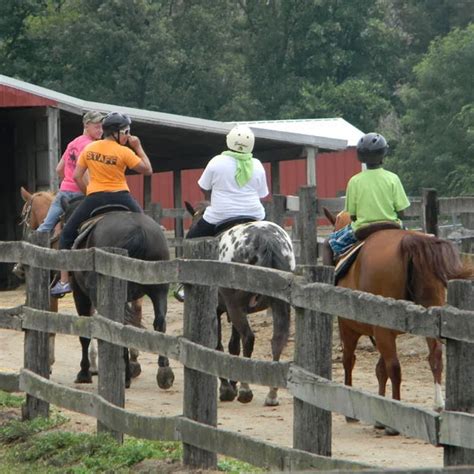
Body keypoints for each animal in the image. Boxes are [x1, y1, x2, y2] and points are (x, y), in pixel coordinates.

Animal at [186, 202, 294, 406]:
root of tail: (265, 240)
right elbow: (233, 346)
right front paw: (232, 383)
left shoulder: (218, 310)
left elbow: (219, 346)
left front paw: (227, 388)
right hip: (276, 304)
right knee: (277, 339)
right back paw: (272, 393)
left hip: (234, 305)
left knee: (248, 338)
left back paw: (245, 389)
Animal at [324, 209, 472, 436]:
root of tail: (409, 242)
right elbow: (380, 368)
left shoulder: (349, 327)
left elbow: (351, 361)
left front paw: (352, 412)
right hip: (429, 314)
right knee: (435, 356)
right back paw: (437, 404)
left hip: (380, 327)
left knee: (394, 366)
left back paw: (394, 418)